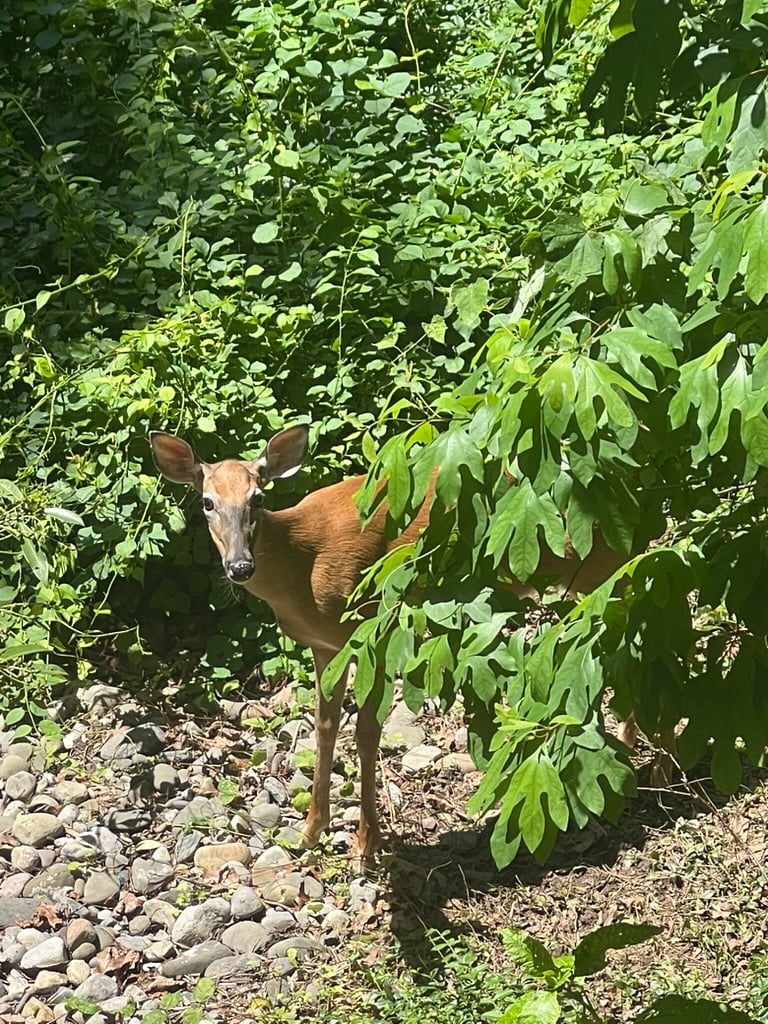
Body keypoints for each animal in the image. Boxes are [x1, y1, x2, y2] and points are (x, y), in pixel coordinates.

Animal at [150, 424, 667, 867]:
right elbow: (325, 726)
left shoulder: (373, 628)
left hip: (605, 560)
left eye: (257, 498)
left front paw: (367, 845)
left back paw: (646, 763)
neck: (301, 568)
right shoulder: (324, 645)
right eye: (206, 502)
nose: (240, 566)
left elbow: (367, 731)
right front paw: (311, 834)